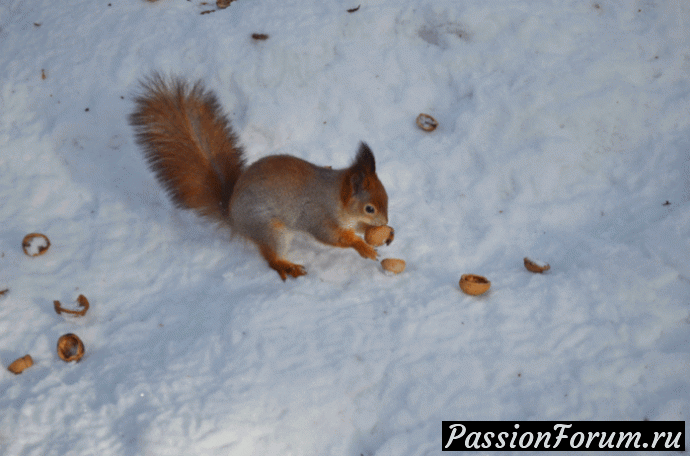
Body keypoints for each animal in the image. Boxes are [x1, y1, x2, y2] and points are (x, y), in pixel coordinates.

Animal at [128, 73, 388, 280]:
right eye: (369, 208)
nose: (385, 222)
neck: (335, 197)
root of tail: (232, 215)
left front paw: (377, 234)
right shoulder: (317, 216)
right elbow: (333, 237)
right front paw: (362, 246)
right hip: (271, 230)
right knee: (270, 257)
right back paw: (286, 266)